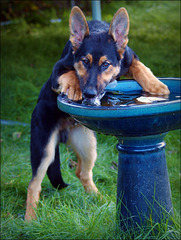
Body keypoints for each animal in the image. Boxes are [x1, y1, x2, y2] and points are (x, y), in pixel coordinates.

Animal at [25, 6, 170, 221]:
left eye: (105, 64)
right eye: (84, 61)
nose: (89, 94)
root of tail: (64, 132)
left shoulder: (129, 57)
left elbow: (138, 66)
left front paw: (155, 85)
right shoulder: (57, 70)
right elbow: (69, 73)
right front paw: (74, 87)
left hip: (88, 146)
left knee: (82, 173)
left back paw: (101, 200)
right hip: (44, 149)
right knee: (34, 185)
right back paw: (30, 219)